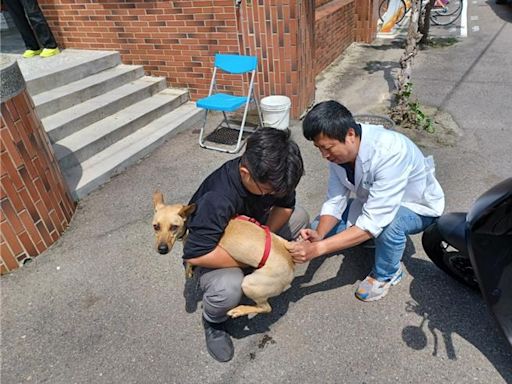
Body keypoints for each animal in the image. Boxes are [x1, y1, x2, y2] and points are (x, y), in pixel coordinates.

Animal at [152, 191, 294, 318]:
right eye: (155, 226)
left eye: (174, 227)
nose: (162, 249)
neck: (191, 220)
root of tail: (291, 266)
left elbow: (189, 260)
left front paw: (188, 269)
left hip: (249, 284)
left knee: (266, 308)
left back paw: (239, 310)